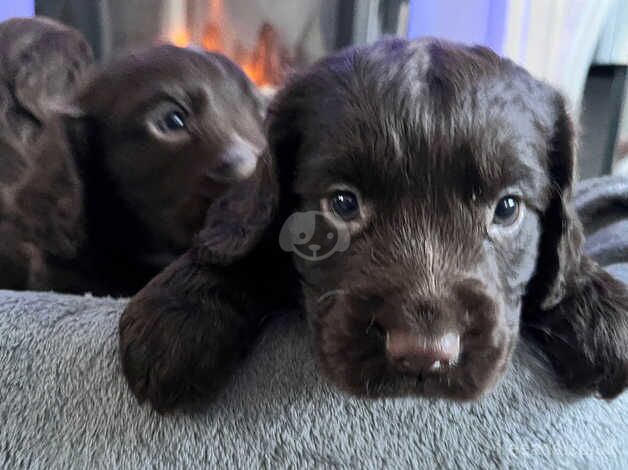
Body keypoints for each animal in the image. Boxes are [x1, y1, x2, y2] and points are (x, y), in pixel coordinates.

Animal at [119, 37, 628, 412]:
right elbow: (245, 244)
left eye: (507, 208)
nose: (424, 354)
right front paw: (176, 314)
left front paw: (599, 303)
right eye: (343, 203)